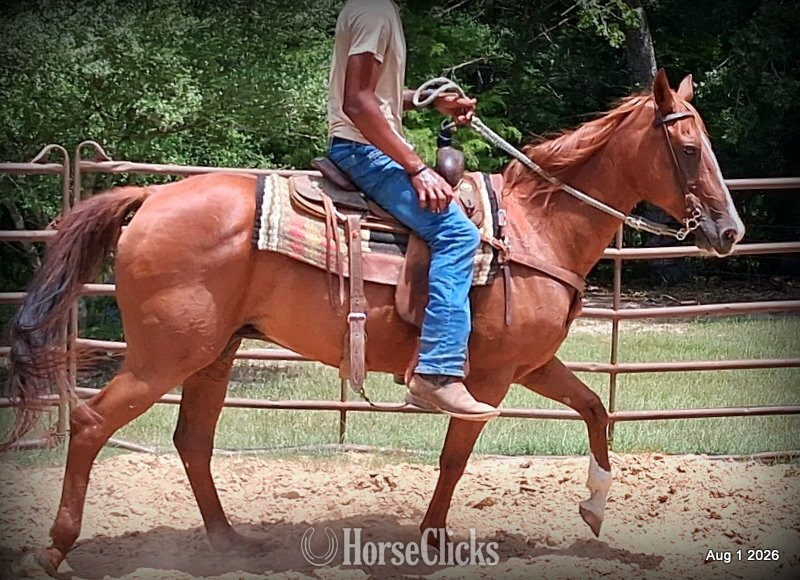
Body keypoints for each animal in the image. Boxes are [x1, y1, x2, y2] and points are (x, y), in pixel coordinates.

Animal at [4, 69, 744, 575]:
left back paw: (230, 543)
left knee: (192, 441)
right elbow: (454, 456)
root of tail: (150, 197)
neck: (537, 227)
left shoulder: (531, 365)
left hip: (213, 354)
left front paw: (594, 506)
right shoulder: (490, 377)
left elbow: (594, 407)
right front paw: (432, 540)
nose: (731, 230)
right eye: (686, 146)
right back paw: (56, 548)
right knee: (93, 422)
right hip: (166, 355)